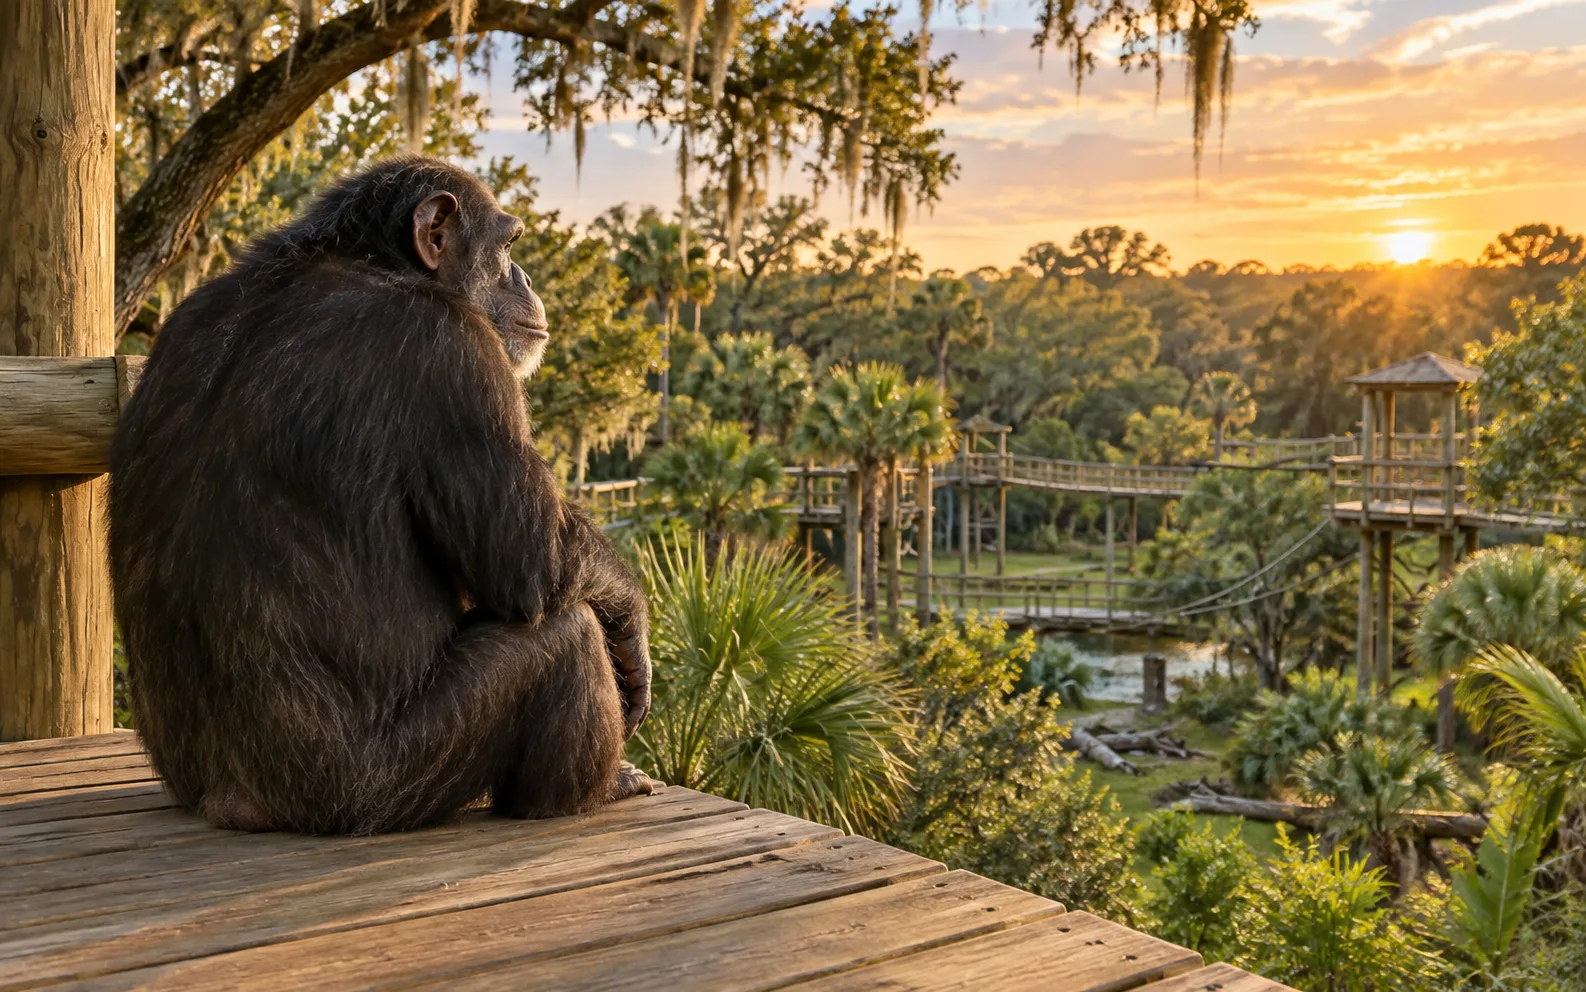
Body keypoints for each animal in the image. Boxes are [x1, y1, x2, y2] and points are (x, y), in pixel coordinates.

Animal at [108, 156, 658, 835]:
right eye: (507, 246)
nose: (524, 276)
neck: (372, 261)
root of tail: (235, 803)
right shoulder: (454, 349)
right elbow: (536, 560)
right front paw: (629, 620)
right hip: (382, 789)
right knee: (563, 632)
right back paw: (595, 788)